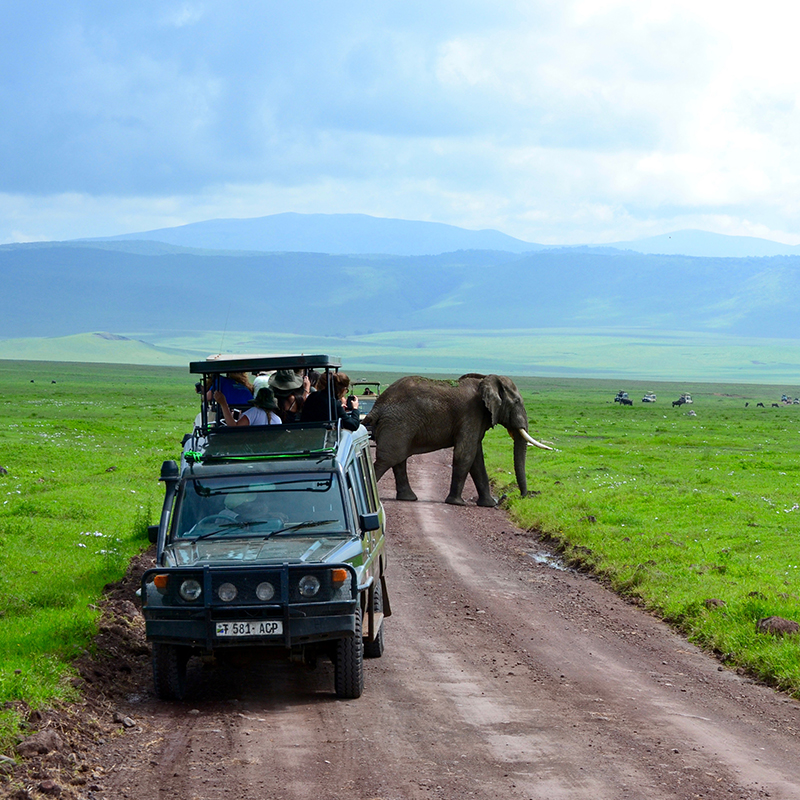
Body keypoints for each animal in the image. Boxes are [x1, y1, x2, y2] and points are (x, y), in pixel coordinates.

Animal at [362, 374, 552, 506]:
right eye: (517, 401)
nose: (521, 497)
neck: (486, 379)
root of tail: (377, 406)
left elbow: (477, 460)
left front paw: (489, 505)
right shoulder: (471, 414)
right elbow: (465, 455)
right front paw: (457, 503)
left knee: (398, 460)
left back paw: (409, 498)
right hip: (398, 424)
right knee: (388, 459)